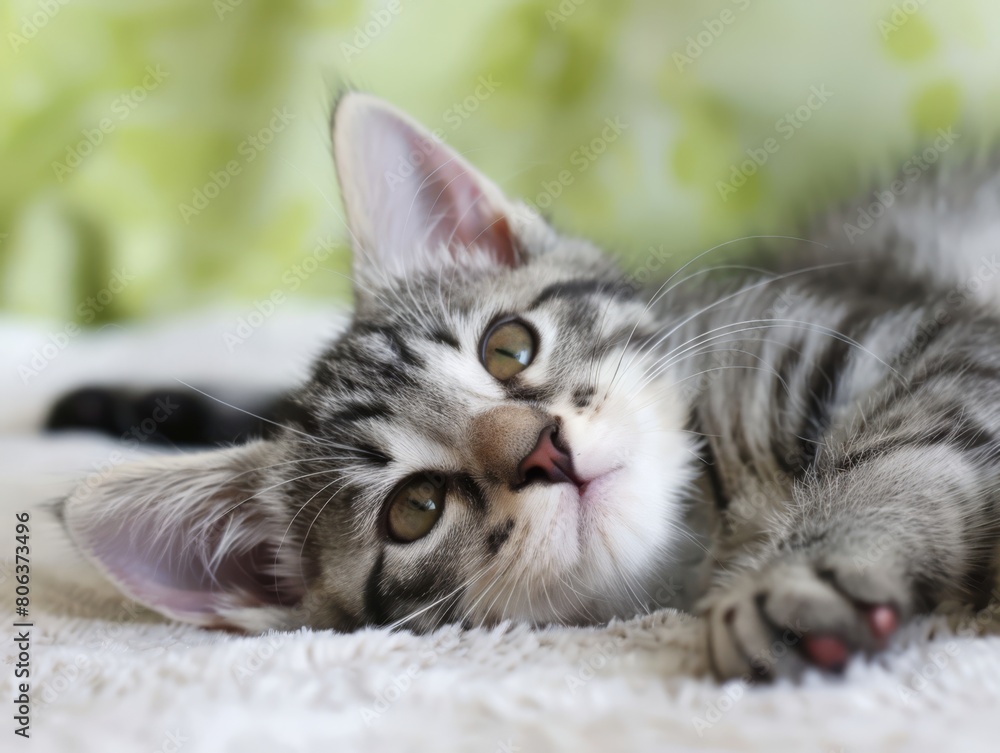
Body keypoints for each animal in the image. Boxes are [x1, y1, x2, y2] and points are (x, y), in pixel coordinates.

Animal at [62, 91, 1000, 680]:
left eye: (507, 349)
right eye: (414, 509)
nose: (543, 449)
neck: (715, 525)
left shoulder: (919, 336)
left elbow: (899, 458)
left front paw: (812, 569)